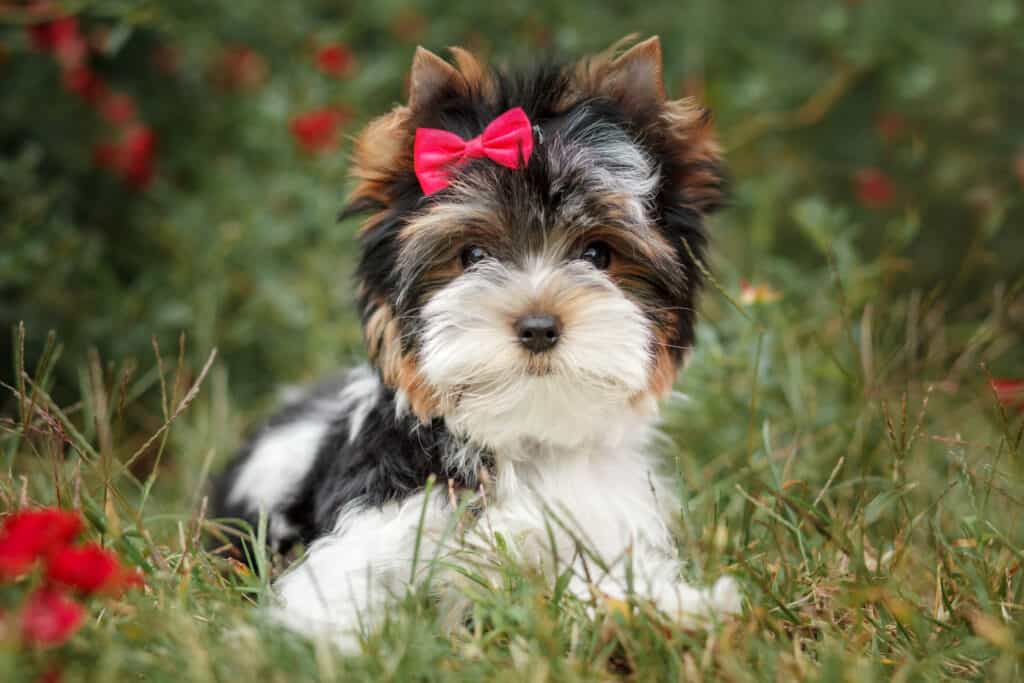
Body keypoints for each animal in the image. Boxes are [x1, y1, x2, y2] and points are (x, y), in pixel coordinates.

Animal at [211, 34, 741, 651]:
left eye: (598, 254)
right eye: (472, 255)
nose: (538, 326)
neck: (521, 439)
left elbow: (604, 583)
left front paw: (678, 608)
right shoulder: (381, 524)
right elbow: (334, 588)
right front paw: (328, 643)